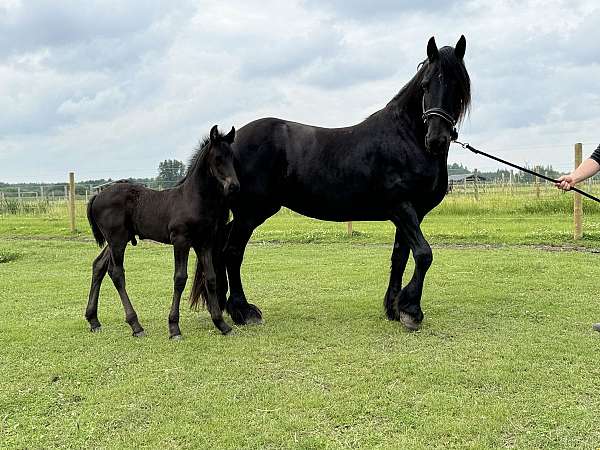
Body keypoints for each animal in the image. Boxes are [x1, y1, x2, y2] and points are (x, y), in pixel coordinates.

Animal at [85, 125, 239, 338]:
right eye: (217, 158)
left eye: (232, 157)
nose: (234, 186)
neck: (193, 198)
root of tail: (97, 196)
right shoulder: (180, 240)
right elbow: (180, 279)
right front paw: (174, 327)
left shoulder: (204, 242)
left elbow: (211, 278)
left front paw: (221, 324)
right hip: (117, 240)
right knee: (116, 273)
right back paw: (136, 325)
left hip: (117, 239)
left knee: (98, 265)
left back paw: (94, 320)